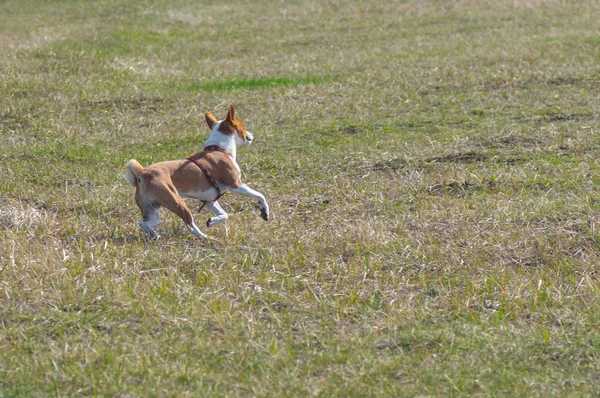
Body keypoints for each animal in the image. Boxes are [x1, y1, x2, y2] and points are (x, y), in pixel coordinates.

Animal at [125, 104, 270, 238]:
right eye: (242, 126)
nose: (251, 135)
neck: (219, 149)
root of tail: (142, 172)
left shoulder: (210, 200)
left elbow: (224, 214)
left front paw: (213, 221)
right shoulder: (235, 184)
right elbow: (260, 195)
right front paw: (265, 210)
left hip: (152, 208)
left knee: (145, 223)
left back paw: (155, 235)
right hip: (177, 202)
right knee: (191, 226)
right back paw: (206, 237)